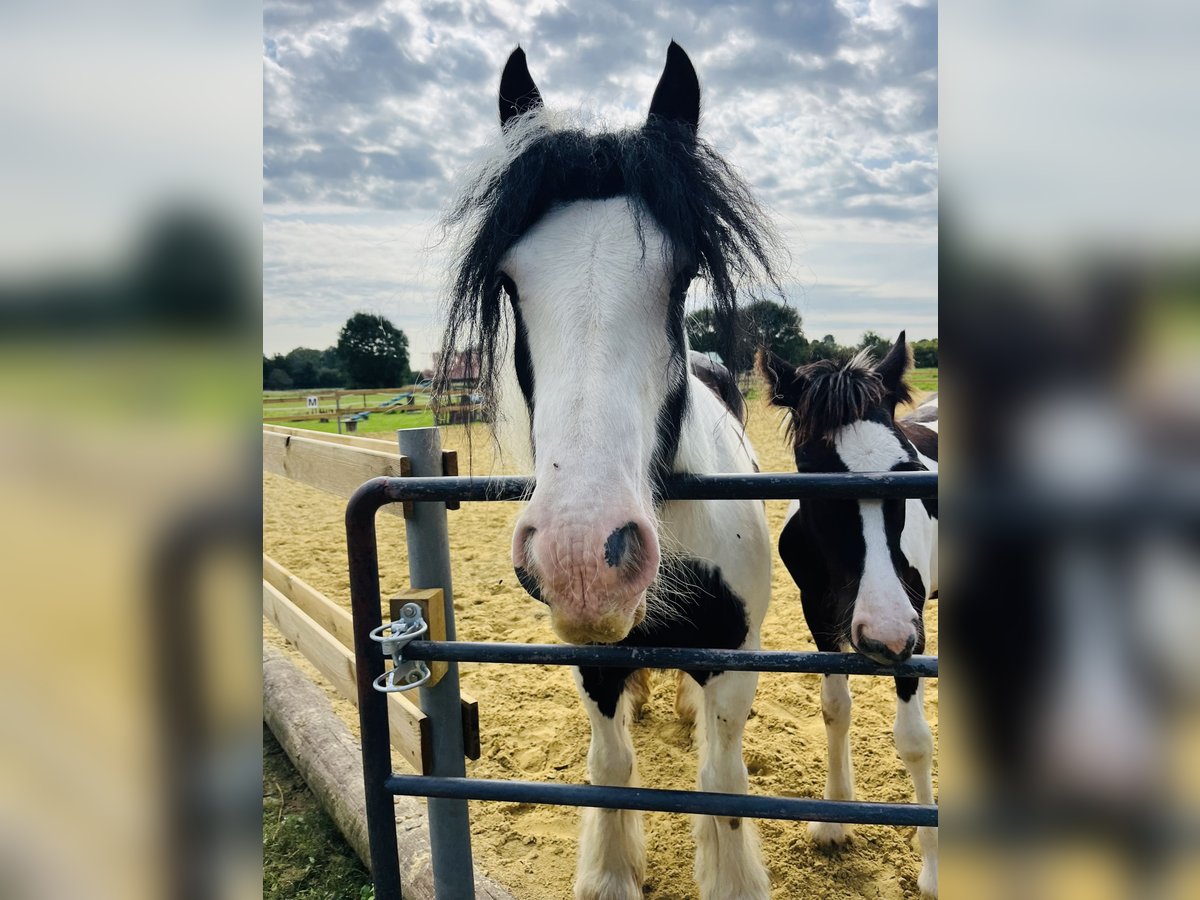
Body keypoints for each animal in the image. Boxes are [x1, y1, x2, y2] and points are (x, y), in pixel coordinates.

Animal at [436, 45, 782, 900]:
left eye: (682, 275)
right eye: (509, 281)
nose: (584, 557)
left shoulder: (736, 658)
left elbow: (722, 781)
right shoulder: (592, 657)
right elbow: (613, 761)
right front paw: (612, 871)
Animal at [758, 336, 936, 897]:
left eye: (910, 474)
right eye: (817, 476)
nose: (885, 634)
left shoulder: (915, 630)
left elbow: (915, 741)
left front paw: (933, 869)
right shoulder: (818, 618)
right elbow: (835, 709)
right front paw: (835, 820)